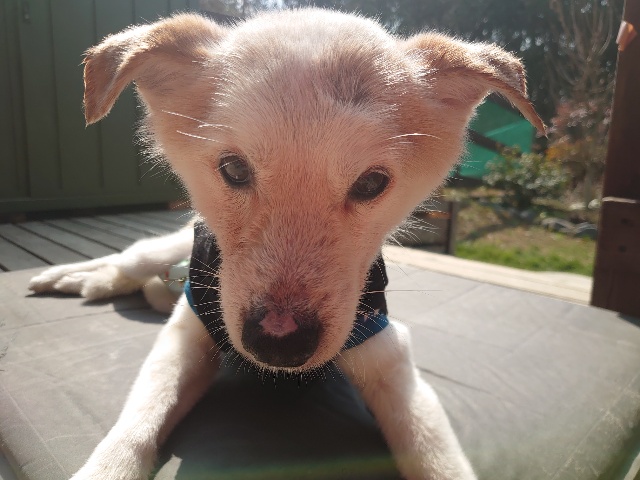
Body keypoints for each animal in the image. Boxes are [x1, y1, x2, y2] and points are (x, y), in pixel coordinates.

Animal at [29, 8, 543, 480]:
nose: (279, 345)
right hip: (165, 254)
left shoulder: (391, 359)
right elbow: (134, 427)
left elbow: (437, 457)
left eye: (372, 183)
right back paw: (70, 277)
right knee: (128, 259)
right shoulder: (183, 337)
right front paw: (106, 466)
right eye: (234, 169)